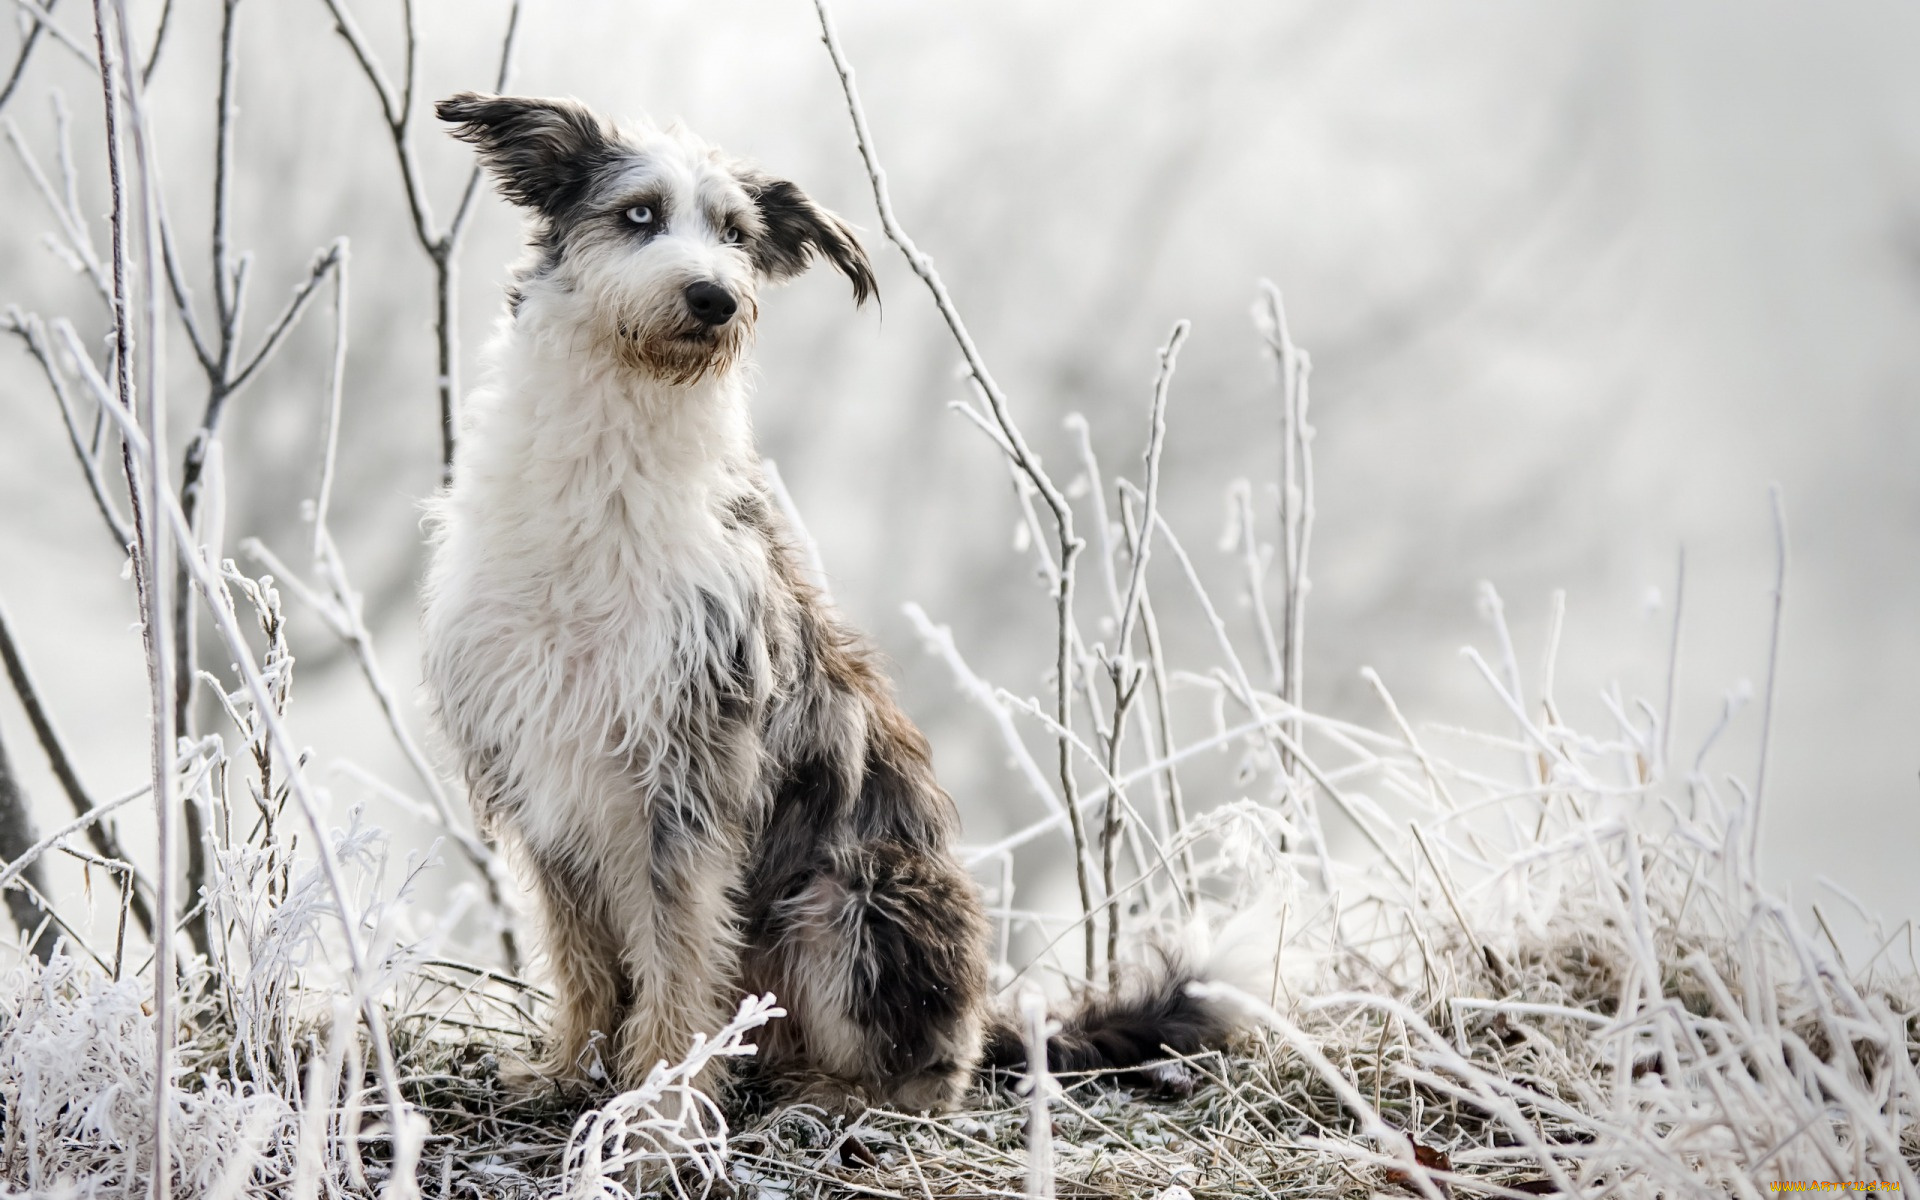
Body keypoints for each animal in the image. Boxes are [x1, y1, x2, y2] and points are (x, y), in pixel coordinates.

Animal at [420, 93, 1236, 1113]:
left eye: (736, 234)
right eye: (639, 212)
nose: (715, 298)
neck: (609, 471)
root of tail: (986, 1016)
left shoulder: (689, 773)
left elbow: (678, 955)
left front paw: (658, 1108)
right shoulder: (545, 774)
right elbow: (583, 959)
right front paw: (572, 1071)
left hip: (855, 895)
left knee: (926, 1074)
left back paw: (828, 1096)